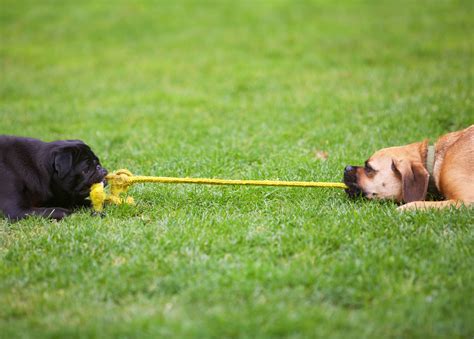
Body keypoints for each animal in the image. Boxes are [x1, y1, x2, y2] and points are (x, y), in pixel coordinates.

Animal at [344, 125, 474, 210]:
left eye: (369, 168)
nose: (346, 168)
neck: (434, 162)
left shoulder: (466, 201)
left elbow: (417, 203)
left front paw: (401, 209)